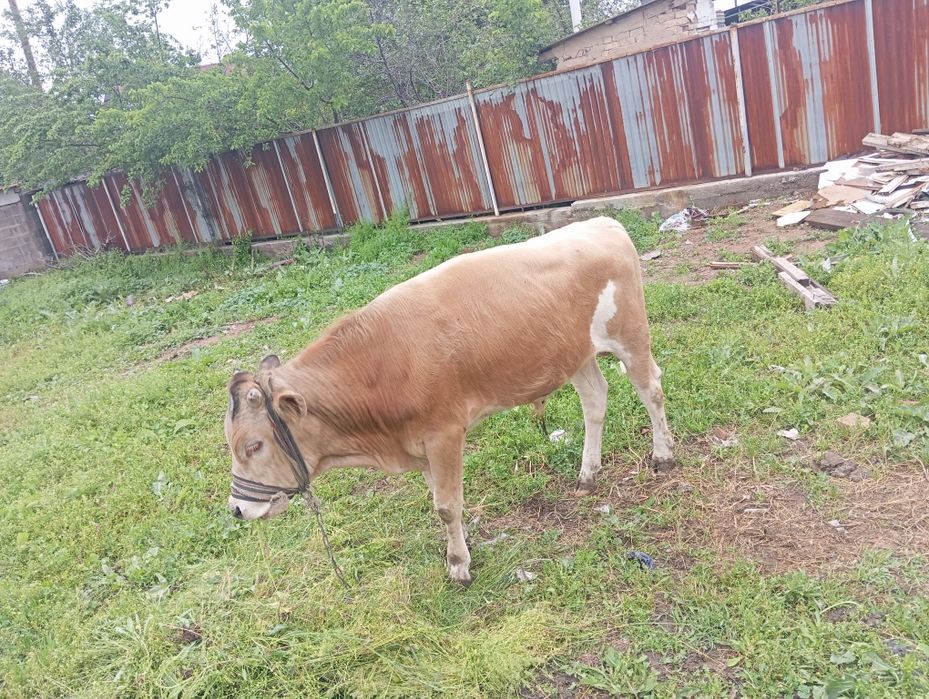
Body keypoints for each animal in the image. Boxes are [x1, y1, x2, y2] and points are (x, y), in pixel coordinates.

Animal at [224, 216, 675, 586]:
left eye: (253, 445)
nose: (237, 509)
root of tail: (603, 223)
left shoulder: (444, 434)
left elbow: (445, 505)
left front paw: (459, 566)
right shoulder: (422, 444)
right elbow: (442, 500)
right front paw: (462, 545)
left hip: (631, 334)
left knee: (651, 389)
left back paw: (663, 455)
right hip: (575, 353)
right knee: (595, 399)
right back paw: (587, 473)